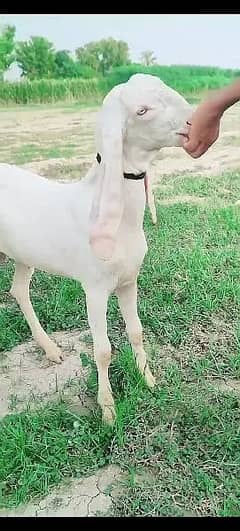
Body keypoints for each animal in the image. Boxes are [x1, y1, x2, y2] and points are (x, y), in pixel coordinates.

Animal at [0, 74, 191, 424]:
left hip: (23, 255)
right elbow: (102, 350)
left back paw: (50, 349)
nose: (192, 122)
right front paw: (108, 410)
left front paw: (149, 381)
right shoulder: (95, 287)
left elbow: (136, 332)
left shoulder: (129, 281)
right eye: (141, 110)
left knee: (19, 289)